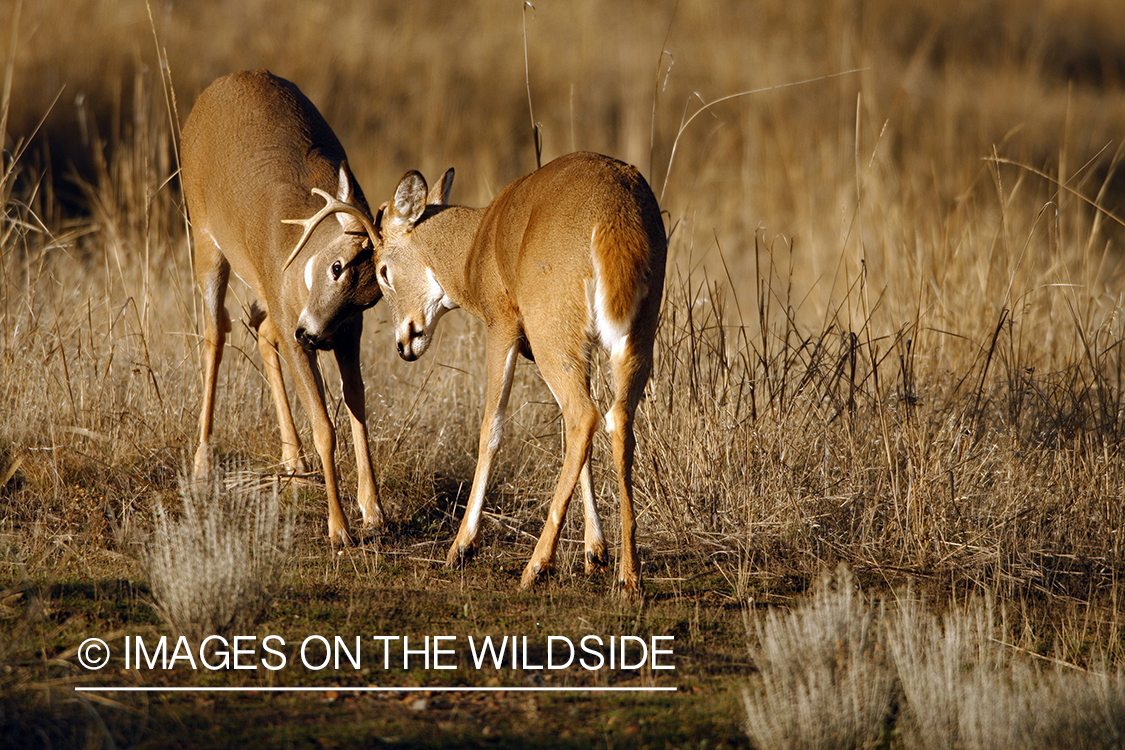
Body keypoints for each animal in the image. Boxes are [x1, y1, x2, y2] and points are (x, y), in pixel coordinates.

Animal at [178, 71, 382, 546]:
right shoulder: (297, 328)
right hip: (204, 235)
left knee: (258, 326)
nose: (312, 334)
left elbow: (358, 406)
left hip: (270, 302)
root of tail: (223, 82)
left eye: (372, 297)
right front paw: (339, 529)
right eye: (336, 265)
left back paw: (294, 459)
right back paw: (202, 464)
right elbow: (325, 426)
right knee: (216, 333)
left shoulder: (347, 334)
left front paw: (373, 511)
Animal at [369, 152, 666, 598]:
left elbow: (490, 428)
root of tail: (615, 216)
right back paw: (628, 576)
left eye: (383, 270)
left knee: (585, 416)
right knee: (614, 419)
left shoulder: (502, 325)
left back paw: (536, 567)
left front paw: (461, 547)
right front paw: (595, 552)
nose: (404, 343)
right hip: (631, 338)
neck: (477, 244)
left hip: (551, 333)